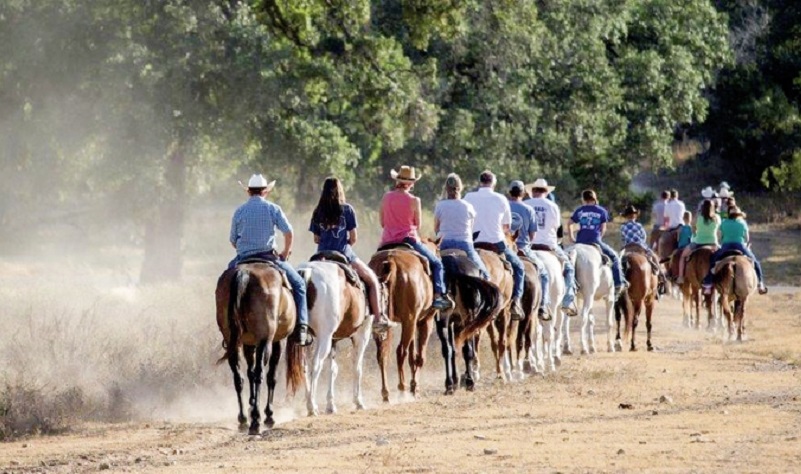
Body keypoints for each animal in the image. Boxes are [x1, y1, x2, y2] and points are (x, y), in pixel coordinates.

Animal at [214, 262, 304, 436]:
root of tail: (244, 273)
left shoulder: (248, 344)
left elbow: (249, 372)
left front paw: (251, 404)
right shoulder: (276, 342)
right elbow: (271, 376)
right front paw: (268, 416)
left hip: (232, 341)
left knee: (239, 377)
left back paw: (243, 419)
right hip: (264, 341)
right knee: (260, 374)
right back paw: (256, 421)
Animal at [296, 258, 372, 416]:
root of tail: (308, 272)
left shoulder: (333, 340)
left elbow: (333, 369)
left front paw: (331, 405)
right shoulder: (362, 335)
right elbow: (357, 367)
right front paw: (358, 401)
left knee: (304, 365)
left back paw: (311, 403)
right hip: (324, 338)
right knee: (316, 365)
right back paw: (312, 407)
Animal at [368, 248, 438, 400]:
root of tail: (391, 261)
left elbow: (412, 355)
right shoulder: (424, 321)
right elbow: (419, 356)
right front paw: (415, 387)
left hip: (384, 323)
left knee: (382, 354)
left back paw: (386, 392)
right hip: (410, 321)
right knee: (400, 351)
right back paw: (402, 389)